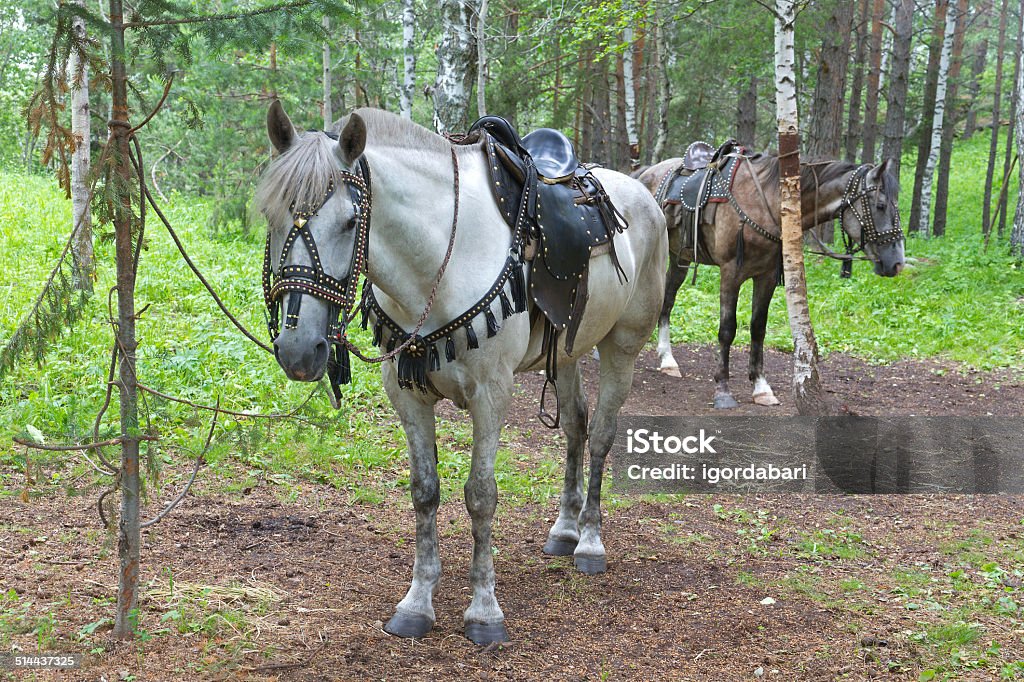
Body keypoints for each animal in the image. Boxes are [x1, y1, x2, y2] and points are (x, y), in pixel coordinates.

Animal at [258, 103, 663, 647]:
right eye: (272, 217)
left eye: (350, 221)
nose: (299, 350)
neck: (436, 265)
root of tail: (644, 194)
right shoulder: (406, 393)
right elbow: (424, 490)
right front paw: (417, 602)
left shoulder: (492, 394)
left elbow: (481, 496)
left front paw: (484, 611)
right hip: (567, 350)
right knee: (576, 426)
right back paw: (565, 529)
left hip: (622, 346)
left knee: (600, 435)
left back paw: (590, 542)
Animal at [638, 152, 905, 409]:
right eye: (880, 205)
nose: (897, 262)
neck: (766, 202)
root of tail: (645, 173)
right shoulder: (730, 273)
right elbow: (727, 330)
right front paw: (723, 390)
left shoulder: (765, 277)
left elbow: (758, 328)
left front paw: (761, 388)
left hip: (679, 259)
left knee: (667, 302)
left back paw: (667, 360)